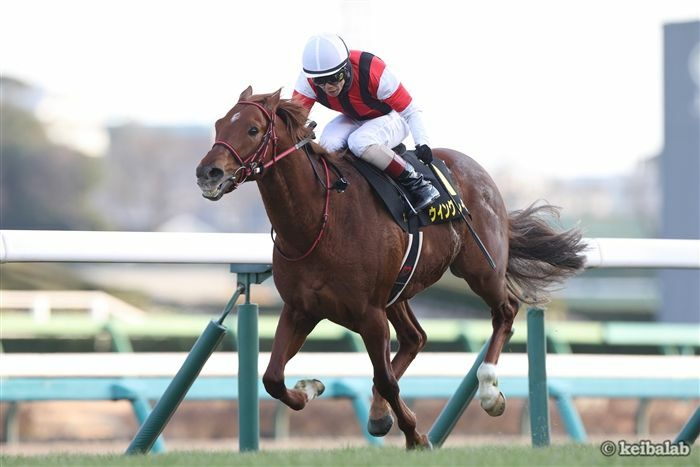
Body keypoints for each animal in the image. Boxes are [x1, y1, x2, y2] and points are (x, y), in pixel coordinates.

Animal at [194, 88, 584, 450]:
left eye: (253, 129)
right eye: (218, 124)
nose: (207, 173)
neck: (319, 221)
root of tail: (478, 171)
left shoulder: (369, 314)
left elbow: (385, 379)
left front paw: (415, 436)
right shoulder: (300, 309)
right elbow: (272, 378)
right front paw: (310, 388)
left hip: (480, 269)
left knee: (505, 312)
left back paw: (488, 391)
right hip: (400, 289)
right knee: (415, 337)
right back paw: (380, 413)